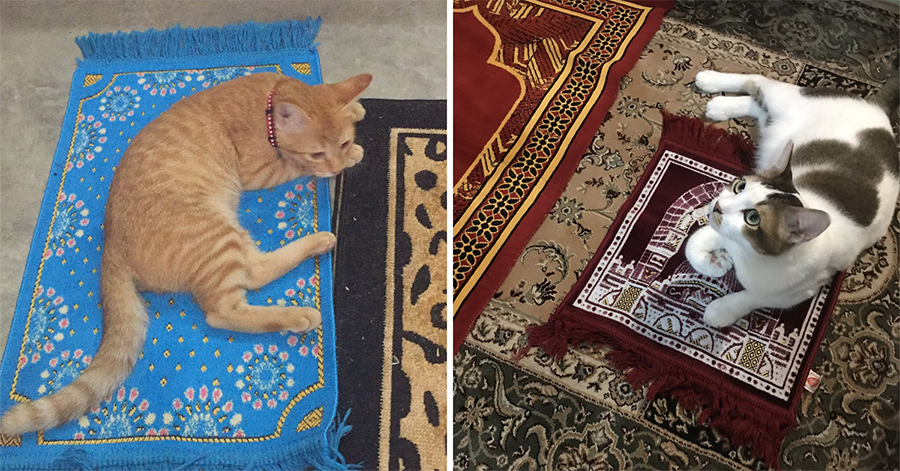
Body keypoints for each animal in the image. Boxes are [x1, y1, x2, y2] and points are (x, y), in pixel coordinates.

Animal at [0, 72, 372, 436]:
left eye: (340, 143)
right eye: (318, 154)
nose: (337, 166)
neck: (266, 101)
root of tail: (111, 245)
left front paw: (354, 110)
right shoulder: (260, 173)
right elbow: (293, 165)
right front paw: (351, 154)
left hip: (229, 230)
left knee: (255, 272)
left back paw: (319, 244)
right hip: (216, 235)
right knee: (224, 309)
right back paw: (301, 308)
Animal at [684, 69, 896, 328]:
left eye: (753, 218)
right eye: (740, 187)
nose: (717, 206)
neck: (751, 255)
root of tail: (878, 111)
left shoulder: (799, 290)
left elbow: (753, 297)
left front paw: (722, 309)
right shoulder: (720, 231)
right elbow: (692, 246)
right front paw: (717, 264)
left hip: (774, 127)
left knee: (758, 104)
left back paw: (720, 105)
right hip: (786, 100)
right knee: (757, 81)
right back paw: (710, 82)